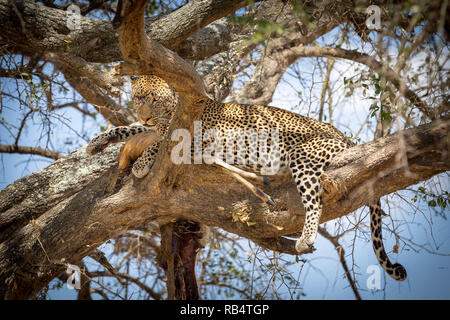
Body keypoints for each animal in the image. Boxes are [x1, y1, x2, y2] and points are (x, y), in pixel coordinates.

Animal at [87, 75, 408, 280]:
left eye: (152, 99)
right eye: (137, 98)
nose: (146, 115)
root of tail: (346, 137)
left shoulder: (195, 141)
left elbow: (158, 141)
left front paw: (141, 163)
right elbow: (133, 129)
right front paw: (98, 142)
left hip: (303, 157)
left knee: (314, 201)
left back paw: (304, 237)